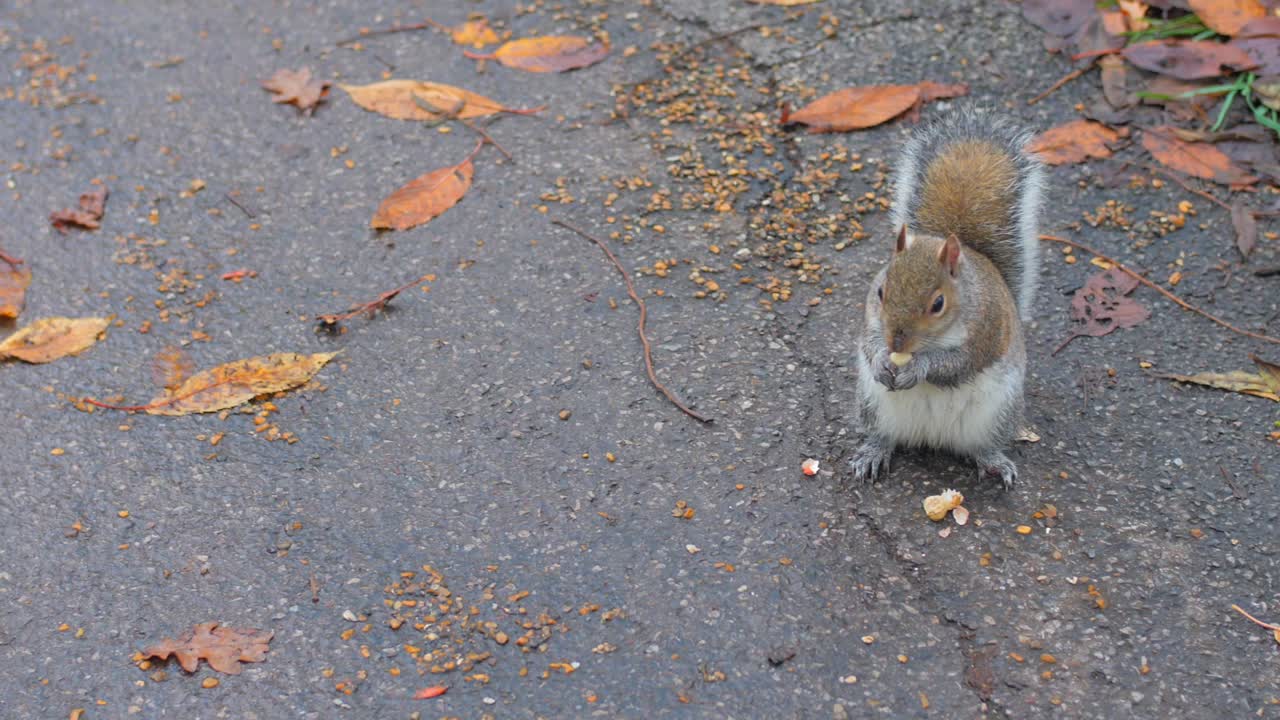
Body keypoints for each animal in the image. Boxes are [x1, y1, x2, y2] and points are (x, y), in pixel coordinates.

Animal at [850, 110, 1045, 490]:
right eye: (881, 291)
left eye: (937, 304)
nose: (896, 342)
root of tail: (932, 437)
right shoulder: (870, 319)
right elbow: (868, 343)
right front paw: (881, 359)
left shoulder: (986, 329)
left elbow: (957, 364)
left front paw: (920, 368)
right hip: (873, 404)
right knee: (883, 435)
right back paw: (873, 453)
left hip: (998, 412)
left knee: (983, 446)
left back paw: (994, 462)